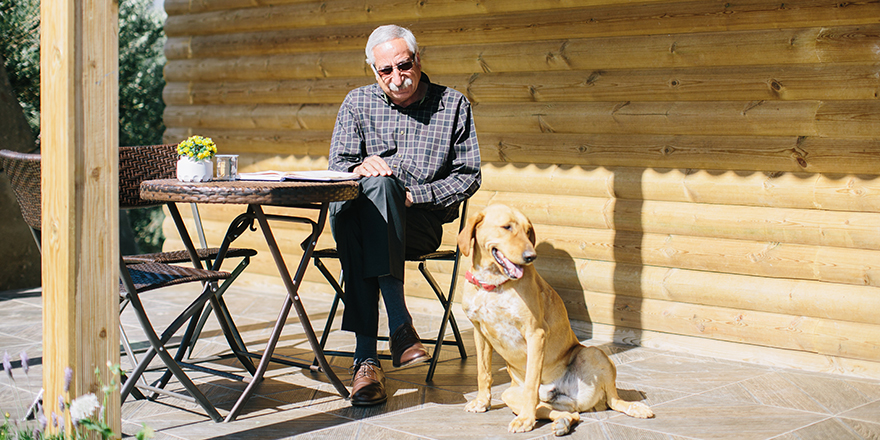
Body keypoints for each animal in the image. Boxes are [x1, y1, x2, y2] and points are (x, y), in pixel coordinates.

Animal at [458, 205, 648, 434]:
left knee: (613, 400)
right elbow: (483, 372)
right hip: (510, 394)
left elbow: (531, 383)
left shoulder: (535, 334)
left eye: (528, 231)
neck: (494, 284)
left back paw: (635, 408)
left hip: (595, 353)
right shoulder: (480, 333)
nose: (531, 256)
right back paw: (562, 422)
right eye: (507, 227)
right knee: (565, 413)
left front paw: (525, 420)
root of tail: (573, 400)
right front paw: (482, 402)